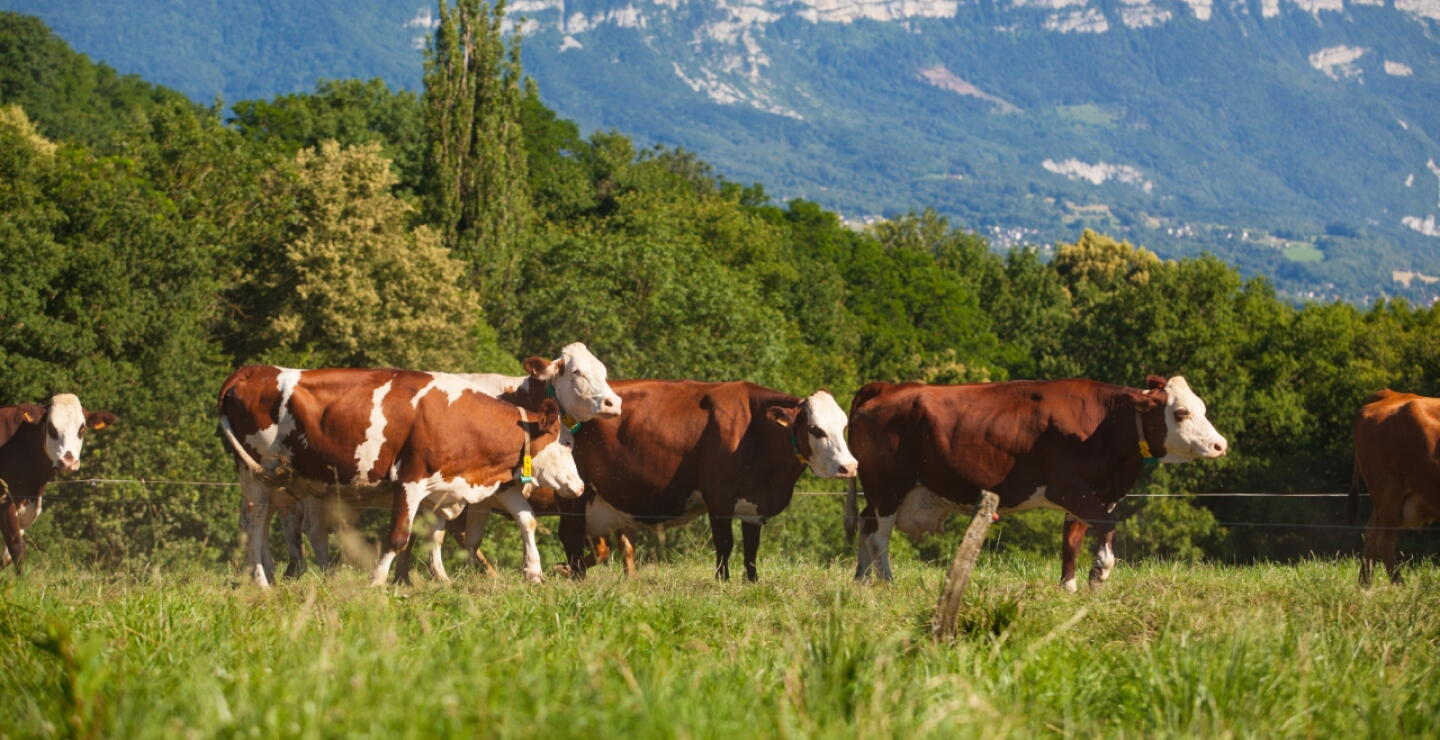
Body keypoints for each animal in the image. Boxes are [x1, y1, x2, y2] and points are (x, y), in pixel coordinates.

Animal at [217, 366, 584, 588]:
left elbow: (524, 519)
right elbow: (399, 536)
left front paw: (532, 572)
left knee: (264, 524)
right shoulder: (410, 480)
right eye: (567, 442)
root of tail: (251, 372)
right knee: (255, 525)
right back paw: (262, 581)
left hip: (273, 479)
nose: (579, 487)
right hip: (258, 473)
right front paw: (378, 580)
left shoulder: (480, 482)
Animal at [549, 380, 858, 582]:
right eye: (815, 429)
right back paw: (576, 577)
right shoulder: (719, 498)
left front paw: (752, 581)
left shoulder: (754, 504)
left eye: (844, 426)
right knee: (571, 534)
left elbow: (751, 547)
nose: (849, 466)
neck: (755, 431)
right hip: (575, 493)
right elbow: (725, 543)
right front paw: (723, 581)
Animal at [846, 376, 1227, 590]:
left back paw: (861, 580)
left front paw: (1069, 587)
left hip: (883, 493)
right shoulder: (1069, 488)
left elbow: (1072, 540)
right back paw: (887, 581)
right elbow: (1107, 525)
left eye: (1203, 408)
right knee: (879, 536)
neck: (1105, 424)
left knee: (866, 527)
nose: (1219, 444)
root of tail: (886, 388)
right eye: (1181, 413)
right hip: (887, 487)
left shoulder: (1093, 494)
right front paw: (1100, 571)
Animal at [1349, 389, 1440, 586]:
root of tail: (1390, 394)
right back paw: (1399, 585)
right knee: (1384, 541)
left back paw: (1365, 585)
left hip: (1383, 501)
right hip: (1388, 491)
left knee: (1371, 537)